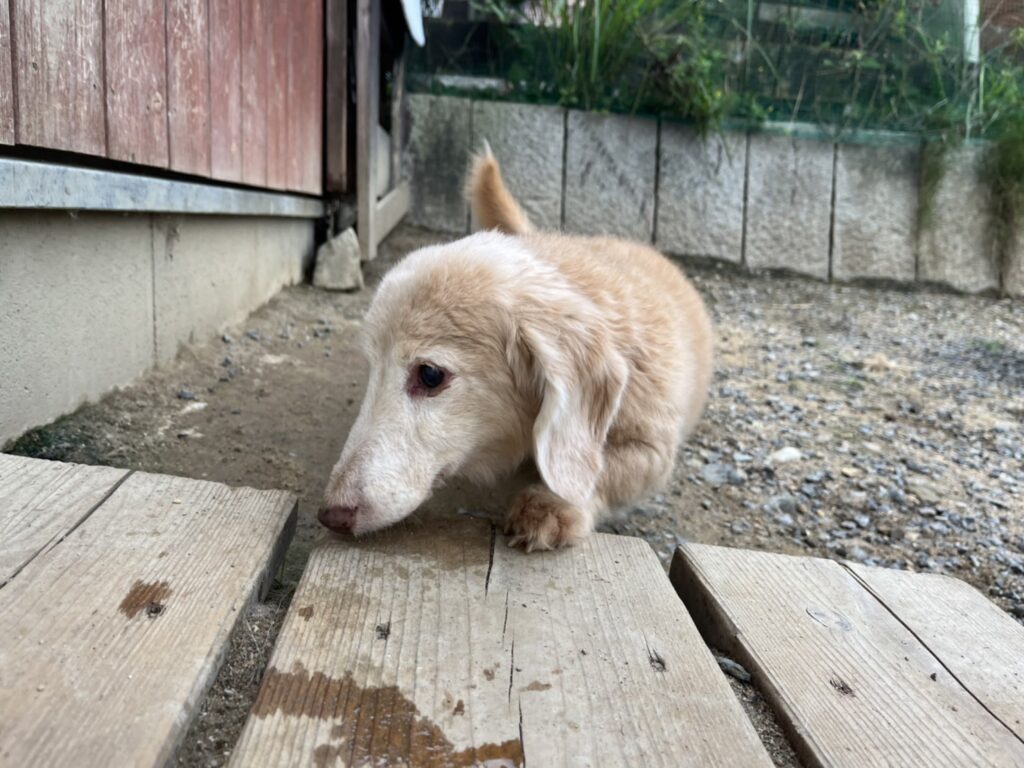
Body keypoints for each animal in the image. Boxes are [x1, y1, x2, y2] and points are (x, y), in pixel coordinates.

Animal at [319, 147, 714, 550]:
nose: (331, 515)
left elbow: (605, 468)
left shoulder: (653, 451)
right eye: (372, 367)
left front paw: (550, 505)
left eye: (430, 375)